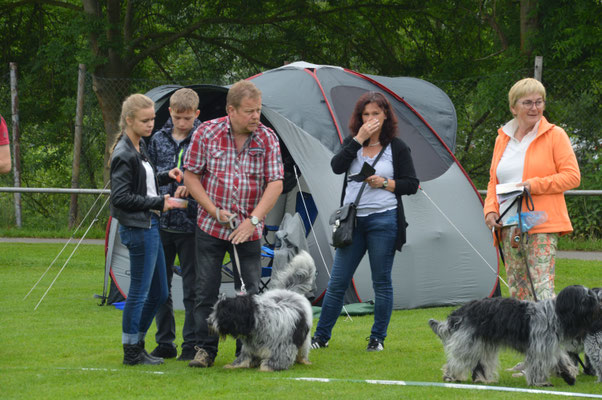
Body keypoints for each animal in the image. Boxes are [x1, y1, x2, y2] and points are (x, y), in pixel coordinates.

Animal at [426, 284, 600, 388]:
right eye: (586, 299)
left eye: (592, 295)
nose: (599, 306)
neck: (553, 315)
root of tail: (460, 311)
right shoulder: (540, 348)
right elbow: (540, 366)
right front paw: (541, 383)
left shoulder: (548, 347)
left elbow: (561, 361)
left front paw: (569, 376)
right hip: (468, 344)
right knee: (457, 361)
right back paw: (450, 377)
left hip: (482, 345)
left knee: (479, 364)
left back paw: (483, 380)